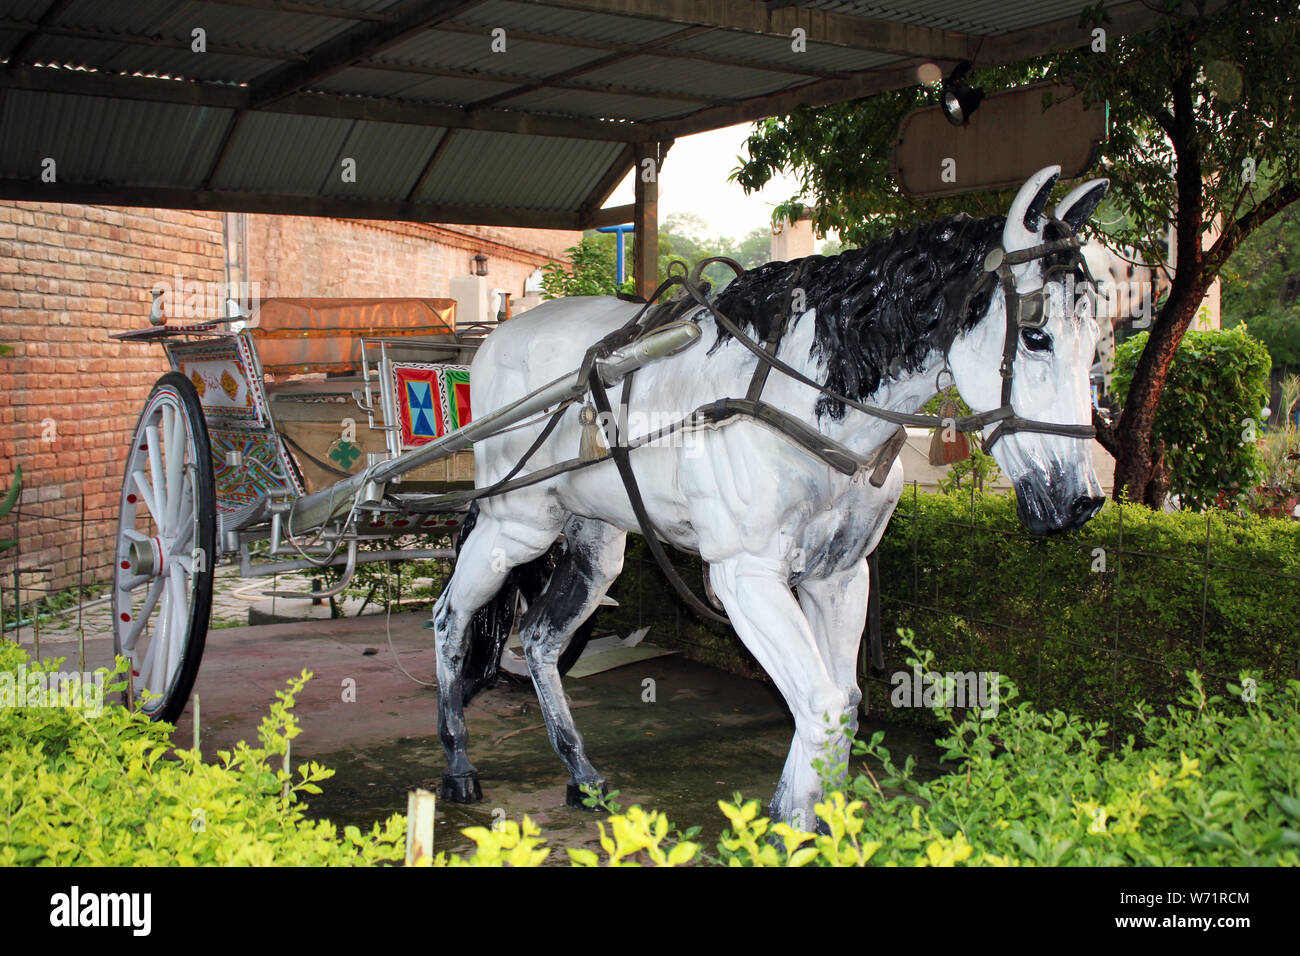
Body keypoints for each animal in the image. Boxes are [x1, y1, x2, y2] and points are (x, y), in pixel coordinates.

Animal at [429, 166, 1109, 826]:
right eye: (1038, 336)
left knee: (541, 637)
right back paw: (458, 762)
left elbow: (843, 702)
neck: (800, 397)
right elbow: (821, 703)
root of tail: (497, 340)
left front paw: (813, 817)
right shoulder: (746, 575)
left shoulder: (839, 573)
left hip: (595, 538)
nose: (1078, 499)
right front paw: (793, 822)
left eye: (1098, 338)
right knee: (450, 615)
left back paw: (580, 772)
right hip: (517, 523)